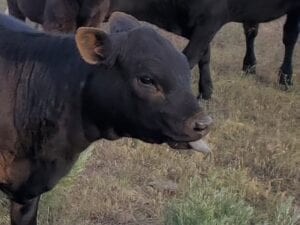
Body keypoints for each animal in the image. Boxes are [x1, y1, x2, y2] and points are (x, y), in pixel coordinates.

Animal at [103, 0, 300, 98]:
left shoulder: (210, 20)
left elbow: (189, 58)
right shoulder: (200, 26)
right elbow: (204, 55)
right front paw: (206, 91)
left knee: (289, 36)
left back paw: (286, 78)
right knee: (251, 30)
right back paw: (249, 66)